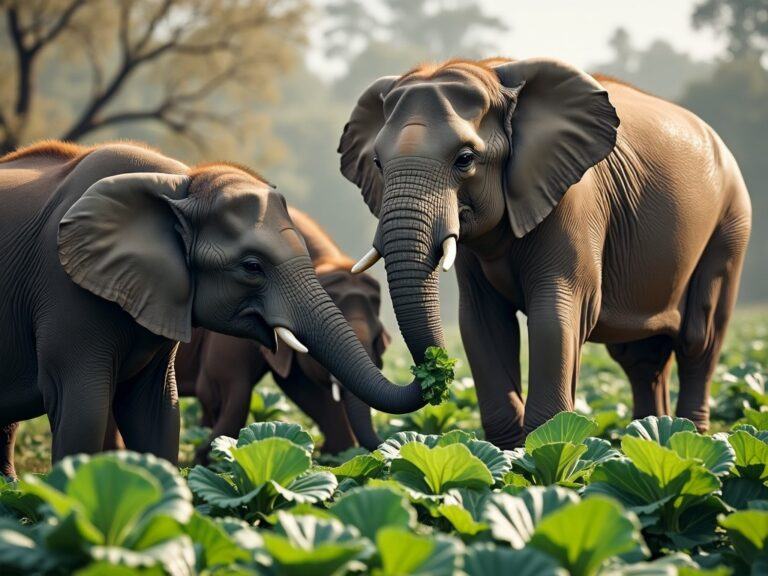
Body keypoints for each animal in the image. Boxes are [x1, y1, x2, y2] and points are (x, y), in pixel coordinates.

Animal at [0, 141, 428, 476]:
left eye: (381, 344)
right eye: (252, 267)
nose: (433, 369)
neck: (181, 184)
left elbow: (159, 409)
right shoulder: (64, 290)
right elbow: (87, 407)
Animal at [340, 56, 752, 448]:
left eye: (465, 159)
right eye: (377, 163)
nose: (434, 373)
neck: (489, 72)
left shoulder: (573, 200)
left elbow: (556, 313)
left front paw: (542, 450)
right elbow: (481, 322)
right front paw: (509, 457)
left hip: (730, 223)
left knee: (698, 337)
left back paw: (691, 435)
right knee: (640, 357)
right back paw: (652, 435)